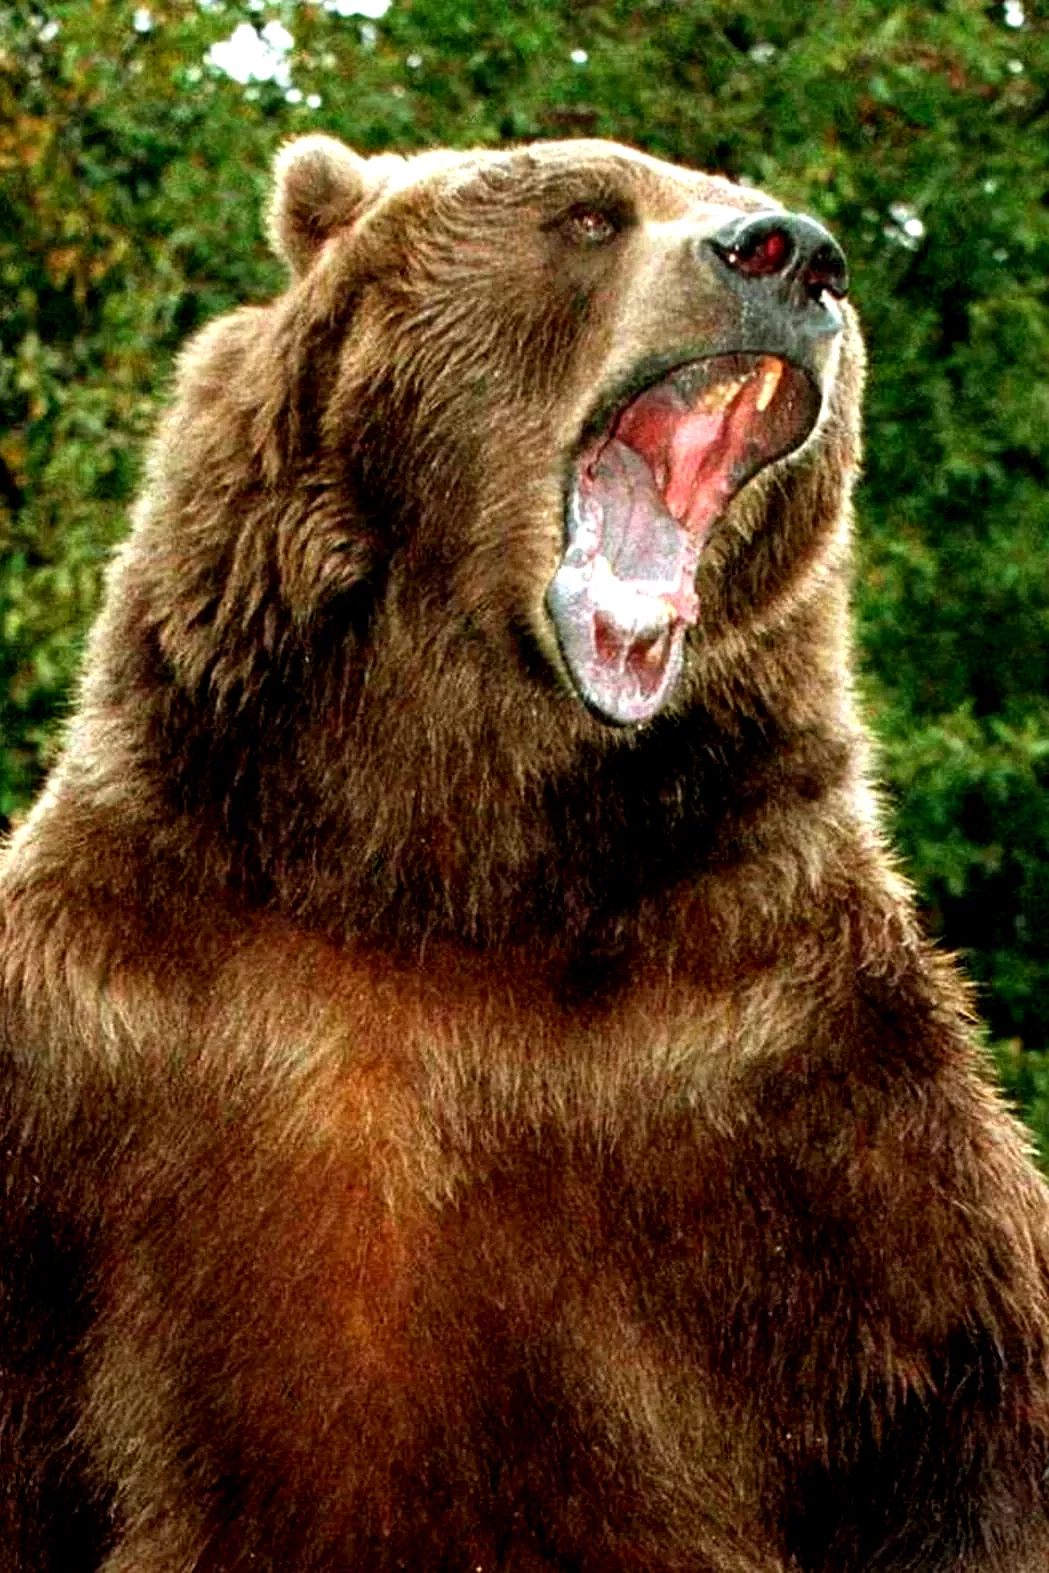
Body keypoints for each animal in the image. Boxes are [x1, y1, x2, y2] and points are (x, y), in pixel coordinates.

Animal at [1, 131, 1048, 1573]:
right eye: (590, 212)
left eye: (745, 209)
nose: (793, 255)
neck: (439, 854)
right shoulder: (106, 1034)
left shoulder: (791, 1075)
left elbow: (960, 1413)